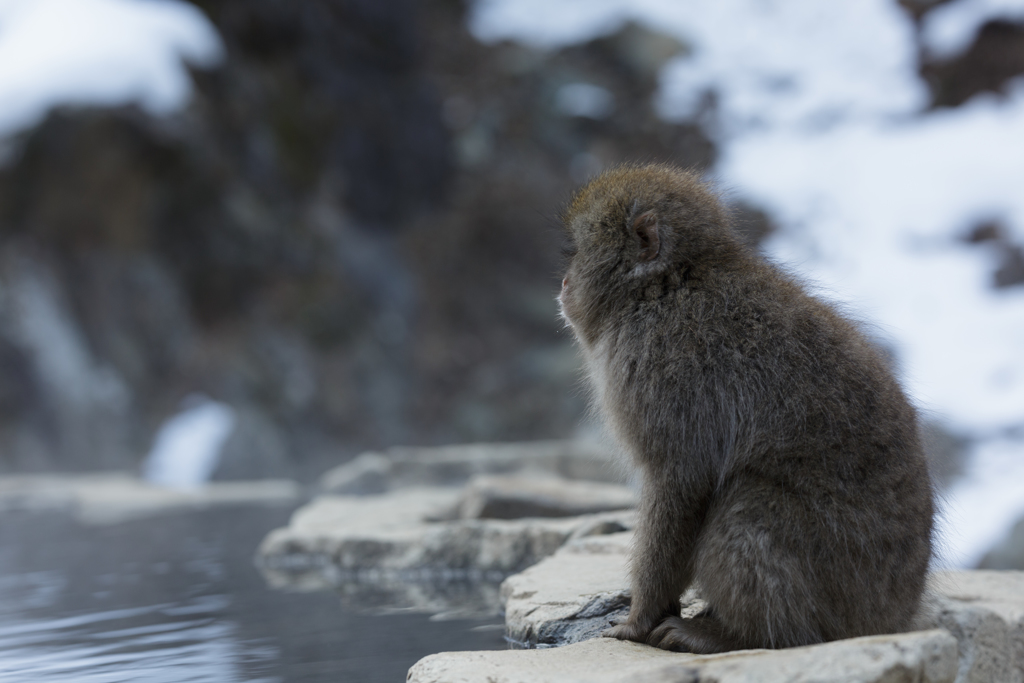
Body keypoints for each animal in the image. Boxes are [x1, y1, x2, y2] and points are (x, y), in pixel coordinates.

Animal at [561, 162, 937, 655]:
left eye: (577, 252)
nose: (563, 283)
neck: (667, 284)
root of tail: (893, 616)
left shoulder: (661, 368)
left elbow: (682, 480)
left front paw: (638, 618)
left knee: (747, 505)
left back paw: (731, 636)